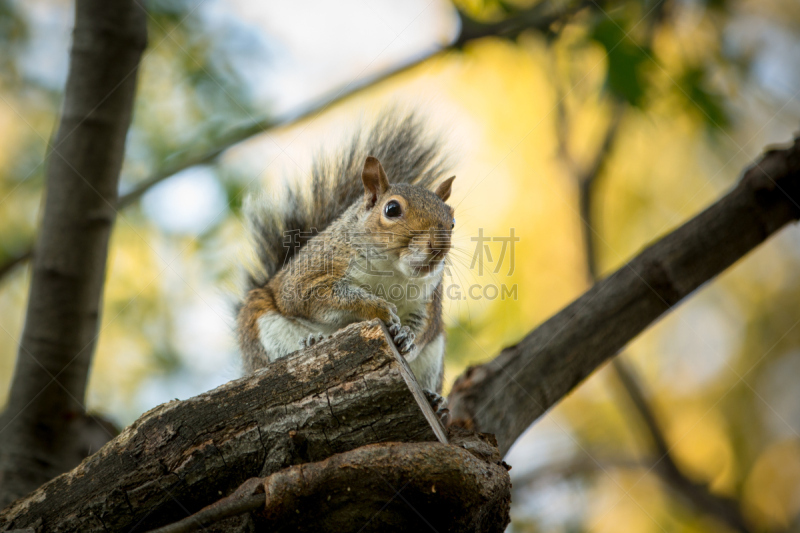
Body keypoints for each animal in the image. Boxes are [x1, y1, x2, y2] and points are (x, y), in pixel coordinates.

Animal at [234, 114, 454, 416]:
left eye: (452, 221)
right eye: (392, 209)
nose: (439, 246)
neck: (391, 271)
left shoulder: (428, 299)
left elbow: (424, 326)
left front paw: (406, 335)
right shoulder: (312, 271)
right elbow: (314, 296)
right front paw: (376, 307)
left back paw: (435, 400)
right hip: (263, 327)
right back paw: (312, 341)